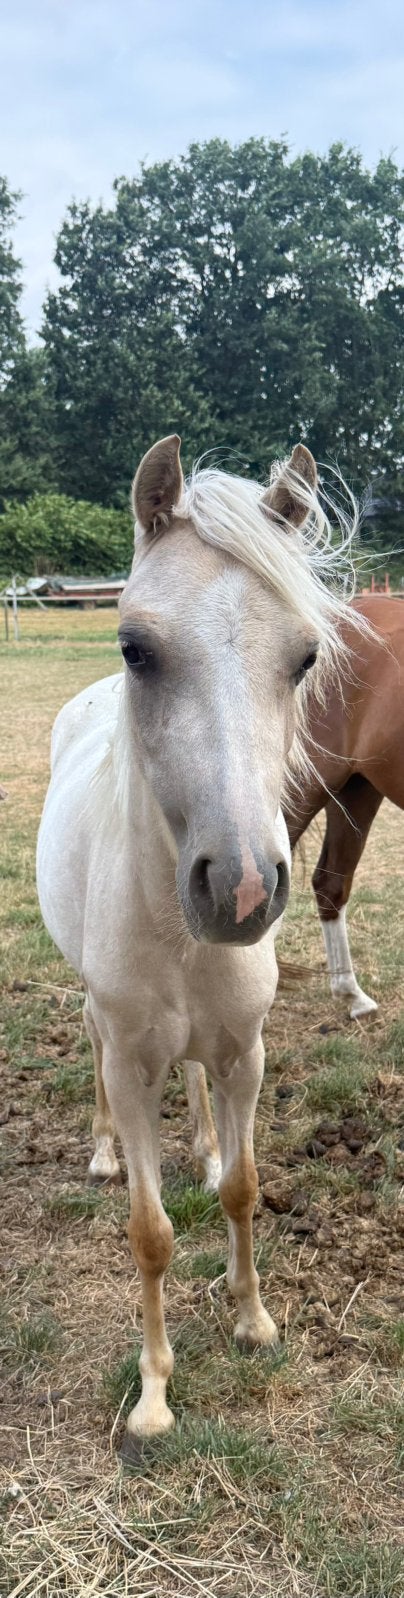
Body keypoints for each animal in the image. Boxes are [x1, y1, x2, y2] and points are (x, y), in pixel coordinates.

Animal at [37, 433, 355, 1442]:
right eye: (135, 648)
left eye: (304, 656)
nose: (243, 887)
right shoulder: (133, 1062)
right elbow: (150, 1234)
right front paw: (153, 1394)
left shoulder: (246, 1053)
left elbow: (242, 1190)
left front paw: (254, 1320)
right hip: (100, 1022)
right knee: (93, 1049)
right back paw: (102, 1151)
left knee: (200, 1089)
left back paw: (207, 1142)